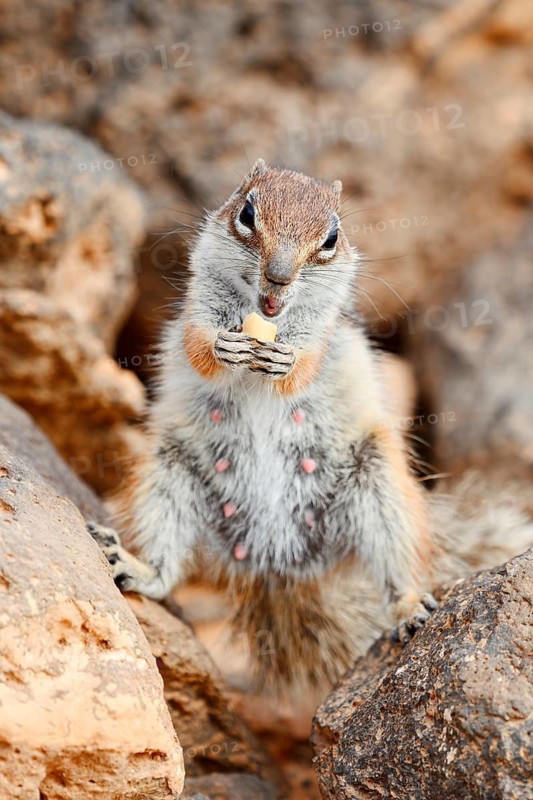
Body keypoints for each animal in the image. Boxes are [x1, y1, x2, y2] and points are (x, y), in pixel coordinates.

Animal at [89, 160, 533, 691]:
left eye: (332, 238)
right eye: (246, 213)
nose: (278, 277)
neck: (263, 317)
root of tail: (280, 561)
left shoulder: (323, 334)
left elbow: (304, 366)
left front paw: (285, 361)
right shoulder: (196, 311)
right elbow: (198, 346)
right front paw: (222, 347)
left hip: (378, 487)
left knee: (398, 560)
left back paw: (408, 607)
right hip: (168, 474)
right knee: (164, 563)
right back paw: (135, 566)